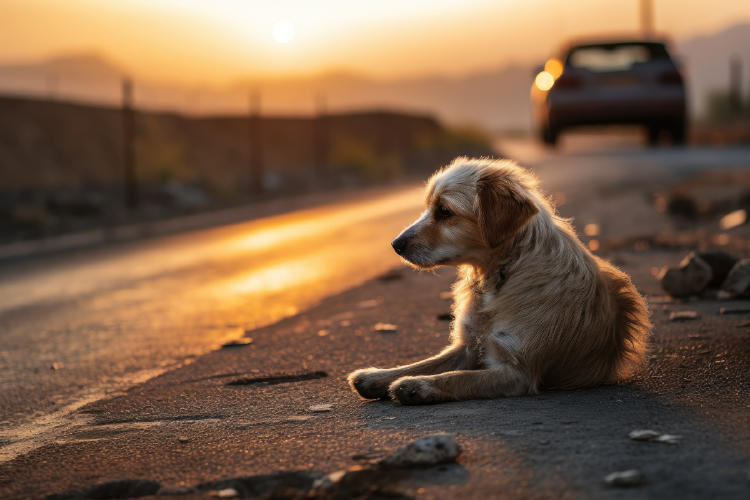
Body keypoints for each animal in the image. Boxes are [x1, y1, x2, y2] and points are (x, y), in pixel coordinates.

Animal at [350, 158, 648, 404]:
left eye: (444, 211)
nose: (395, 245)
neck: (502, 273)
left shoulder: (517, 372)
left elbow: (457, 378)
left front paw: (416, 386)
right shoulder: (468, 346)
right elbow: (426, 362)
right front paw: (377, 376)